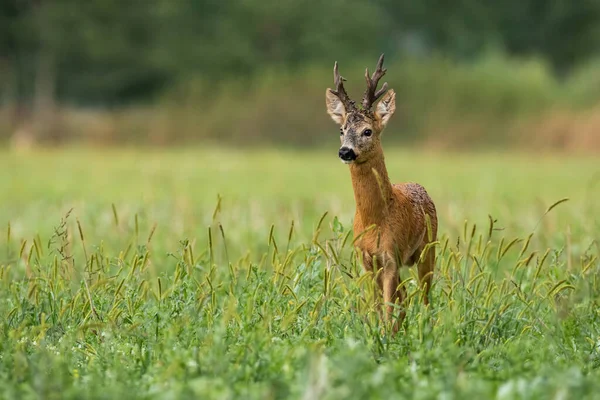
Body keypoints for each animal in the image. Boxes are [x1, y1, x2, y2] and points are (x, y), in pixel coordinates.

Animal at [326, 54, 438, 334]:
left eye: (367, 131)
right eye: (341, 130)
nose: (345, 151)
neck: (374, 221)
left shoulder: (391, 257)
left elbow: (388, 306)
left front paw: (386, 337)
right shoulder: (366, 259)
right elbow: (377, 305)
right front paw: (377, 333)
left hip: (428, 249)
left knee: (425, 297)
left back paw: (427, 331)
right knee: (406, 298)